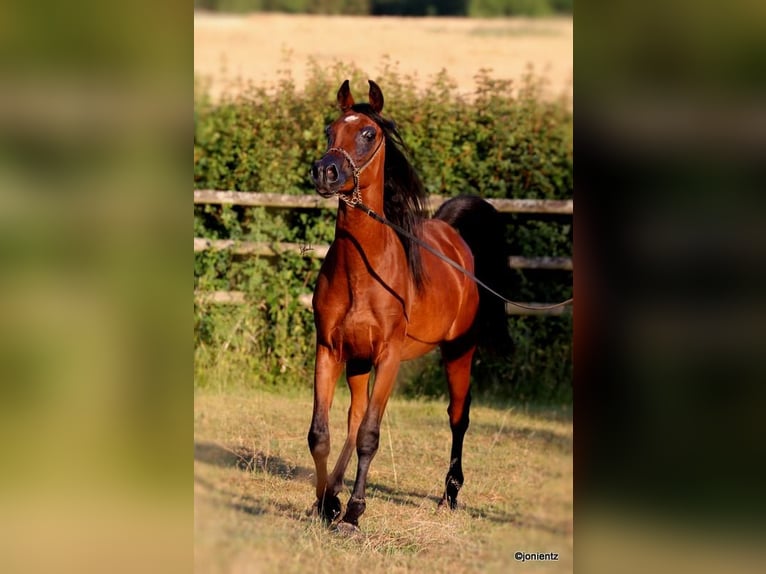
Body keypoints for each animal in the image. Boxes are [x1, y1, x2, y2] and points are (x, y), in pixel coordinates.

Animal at [308, 79, 509, 532]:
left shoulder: (389, 356)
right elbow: (322, 433)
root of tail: (455, 238)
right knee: (353, 418)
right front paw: (326, 504)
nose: (326, 172)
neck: (362, 272)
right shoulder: (329, 351)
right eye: (329, 130)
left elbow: (370, 436)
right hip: (358, 361)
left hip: (457, 352)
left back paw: (450, 495)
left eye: (368, 134)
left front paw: (353, 514)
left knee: (458, 415)